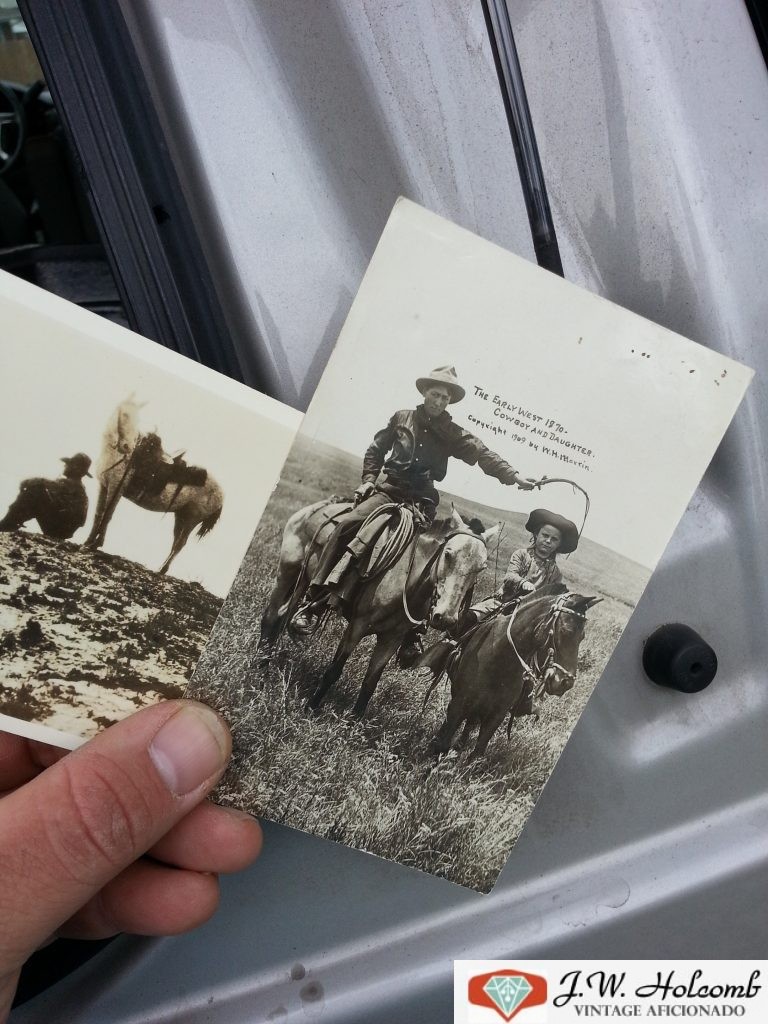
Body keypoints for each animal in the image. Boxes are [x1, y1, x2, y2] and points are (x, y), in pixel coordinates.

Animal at [88, 395, 225, 577]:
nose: (127, 446)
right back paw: (161, 569)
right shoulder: (104, 486)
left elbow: (108, 515)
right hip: (180, 517)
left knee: (180, 544)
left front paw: (96, 544)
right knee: (176, 542)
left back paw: (162, 570)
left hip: (191, 519)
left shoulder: (116, 488)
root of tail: (222, 495)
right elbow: (98, 515)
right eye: (125, 415)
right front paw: (88, 542)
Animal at [260, 499, 499, 716]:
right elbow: (334, 670)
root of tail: (315, 508)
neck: (405, 577)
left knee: (282, 616)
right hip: (287, 572)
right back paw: (261, 671)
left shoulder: (391, 639)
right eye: (448, 554)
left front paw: (353, 724)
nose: (446, 618)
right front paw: (310, 709)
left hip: (301, 582)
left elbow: (370, 683)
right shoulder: (357, 626)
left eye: (481, 567)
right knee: (270, 617)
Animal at [434, 585, 602, 761]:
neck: (500, 660)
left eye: (582, 637)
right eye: (567, 631)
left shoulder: (496, 716)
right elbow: (442, 743)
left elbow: (477, 753)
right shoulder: (458, 704)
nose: (566, 683)